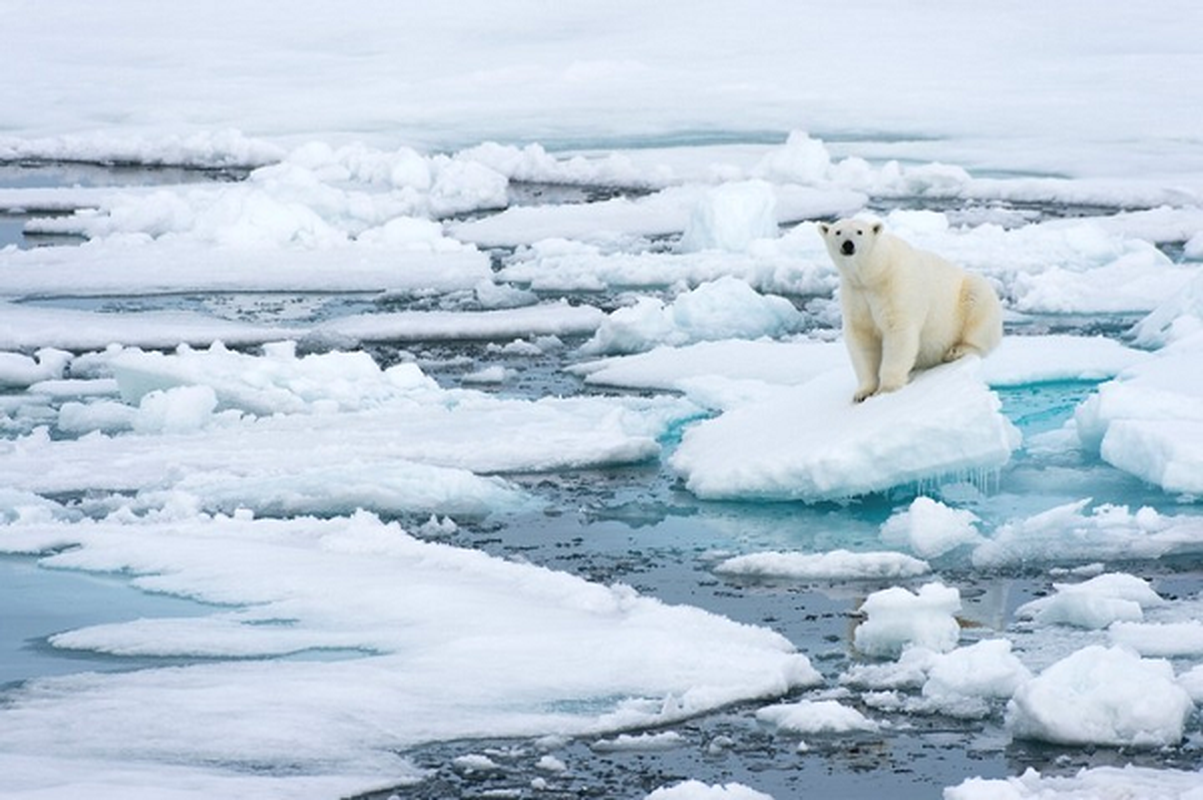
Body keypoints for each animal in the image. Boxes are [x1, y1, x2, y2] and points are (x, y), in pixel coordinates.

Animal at [818, 218, 1005, 401]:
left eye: (859, 231)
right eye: (838, 231)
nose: (848, 244)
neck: (873, 273)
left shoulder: (894, 286)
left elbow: (897, 332)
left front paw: (886, 389)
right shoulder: (856, 294)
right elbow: (862, 338)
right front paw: (862, 393)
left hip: (967, 297)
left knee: (979, 314)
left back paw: (955, 350)